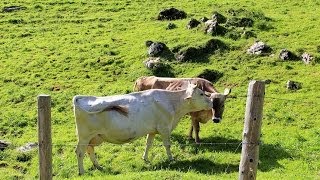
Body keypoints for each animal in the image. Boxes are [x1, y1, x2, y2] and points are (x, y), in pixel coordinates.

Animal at [73, 83, 212, 174]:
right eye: (201, 93)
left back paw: (98, 166)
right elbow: (167, 145)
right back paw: (81, 171)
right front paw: (171, 159)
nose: (211, 101)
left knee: (89, 150)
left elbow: (148, 144)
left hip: (94, 137)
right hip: (84, 136)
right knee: (79, 152)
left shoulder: (152, 130)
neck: (172, 103)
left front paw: (145, 158)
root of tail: (81, 97)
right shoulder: (164, 128)